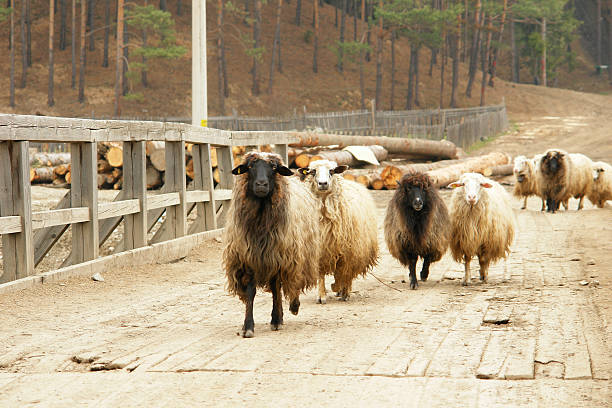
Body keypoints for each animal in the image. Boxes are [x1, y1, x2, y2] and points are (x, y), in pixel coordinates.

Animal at [224, 151, 320, 336]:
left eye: (274, 167)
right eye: (250, 166)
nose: (261, 184)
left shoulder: (278, 256)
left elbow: (276, 287)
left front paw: (276, 319)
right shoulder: (249, 257)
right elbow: (251, 291)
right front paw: (248, 326)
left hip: (300, 254)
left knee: (291, 283)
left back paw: (293, 307)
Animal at [296, 159, 378, 302]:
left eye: (332, 171)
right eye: (313, 172)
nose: (323, 183)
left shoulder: (348, 250)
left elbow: (343, 272)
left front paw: (340, 289)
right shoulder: (320, 249)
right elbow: (321, 273)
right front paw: (321, 295)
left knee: (347, 272)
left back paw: (344, 290)